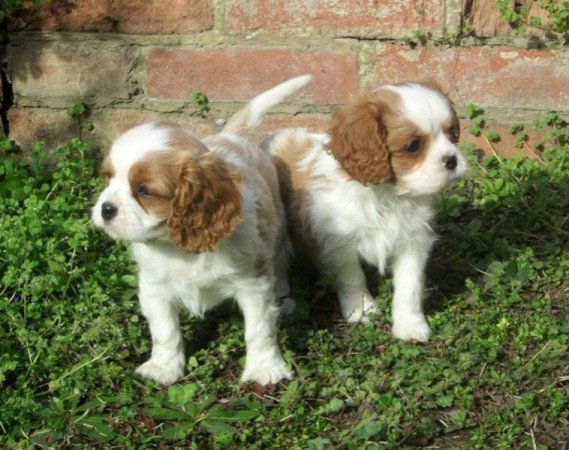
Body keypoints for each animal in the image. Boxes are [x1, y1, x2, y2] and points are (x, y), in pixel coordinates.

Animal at [91, 75, 310, 384]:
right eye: (108, 178)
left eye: (145, 192)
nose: (106, 209)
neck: (179, 245)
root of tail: (232, 136)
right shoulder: (154, 287)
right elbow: (165, 331)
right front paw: (164, 368)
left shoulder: (252, 283)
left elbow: (259, 330)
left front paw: (264, 369)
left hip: (276, 227)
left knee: (279, 262)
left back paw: (282, 295)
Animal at [262, 81, 466, 342]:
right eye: (413, 146)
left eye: (453, 134)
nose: (452, 160)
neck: (389, 194)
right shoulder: (340, 244)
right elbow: (352, 278)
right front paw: (361, 310)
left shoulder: (412, 242)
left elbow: (409, 287)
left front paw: (409, 325)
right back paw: (282, 298)